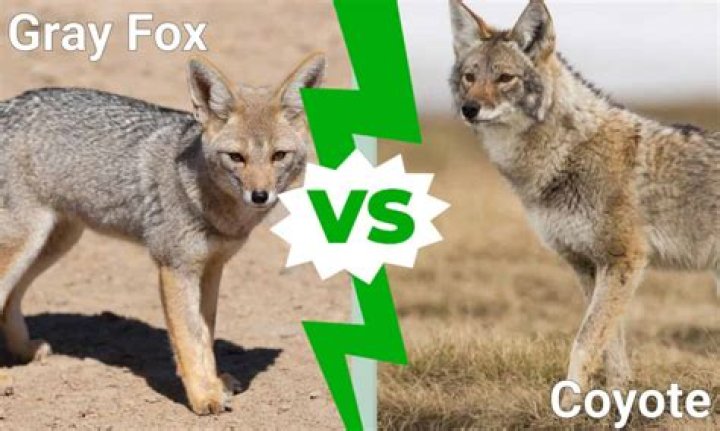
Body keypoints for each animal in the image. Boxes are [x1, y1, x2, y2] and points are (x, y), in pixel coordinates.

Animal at [0, 53, 325, 414]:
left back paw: (24, 351)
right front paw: (204, 396)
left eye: (278, 156)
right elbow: (188, 337)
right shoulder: (175, 268)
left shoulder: (211, 268)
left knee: (10, 299)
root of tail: (7, 106)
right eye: (236, 158)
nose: (260, 196)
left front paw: (214, 383)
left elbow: (205, 334)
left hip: (55, 242)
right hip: (25, 243)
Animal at [449, 0, 719, 407]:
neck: (561, 158)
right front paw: (615, 401)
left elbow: (586, 341)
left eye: (505, 78)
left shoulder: (623, 261)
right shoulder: (586, 265)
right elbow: (611, 349)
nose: (469, 108)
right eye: (469, 76)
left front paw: (566, 406)